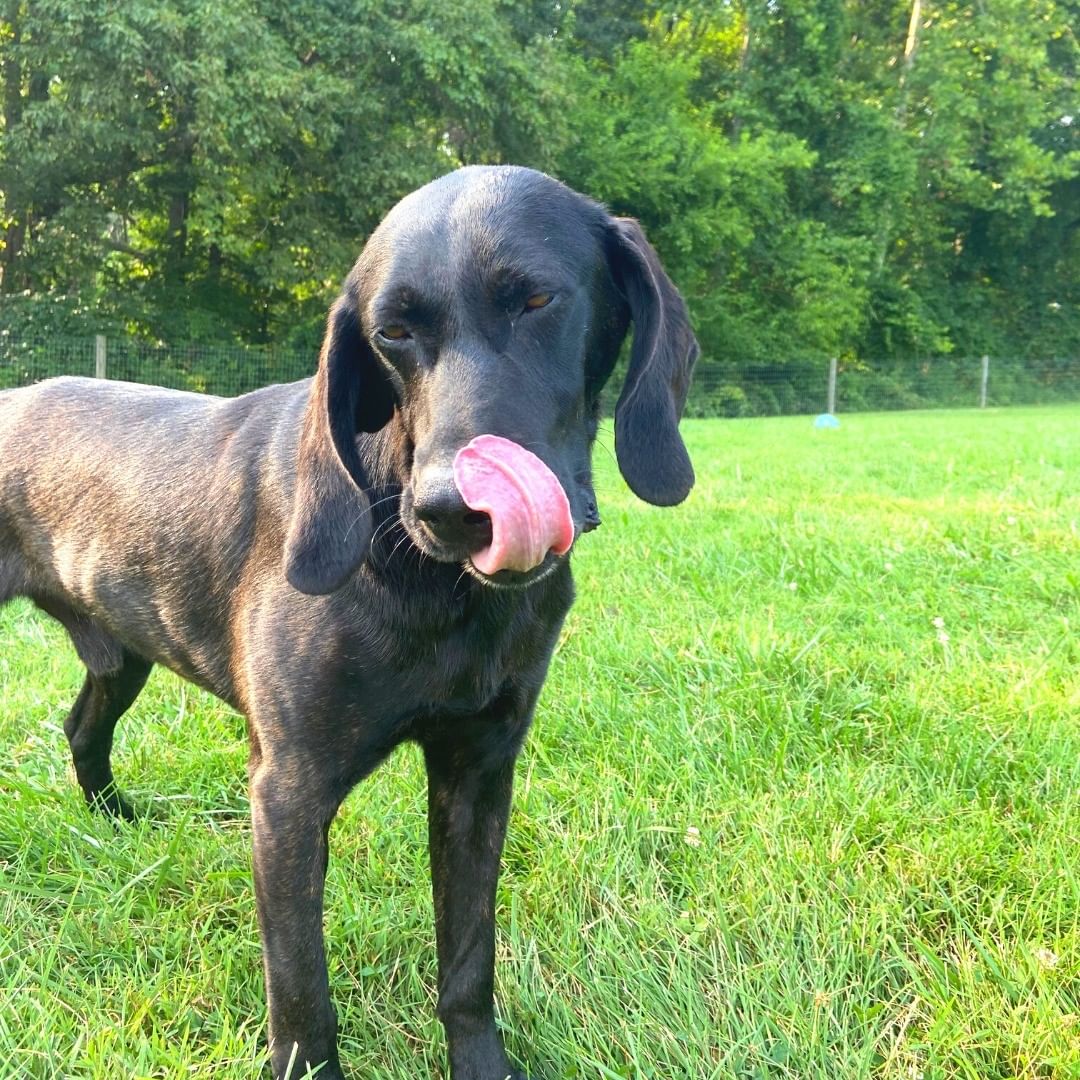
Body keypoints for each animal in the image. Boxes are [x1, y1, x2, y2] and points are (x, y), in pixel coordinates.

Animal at [0, 164, 695, 1075]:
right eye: (390, 331)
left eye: (537, 299)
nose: (450, 511)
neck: (434, 586)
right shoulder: (288, 793)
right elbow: (301, 993)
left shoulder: (479, 771)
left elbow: (467, 962)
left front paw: (480, 1063)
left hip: (122, 651)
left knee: (83, 726)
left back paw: (116, 823)